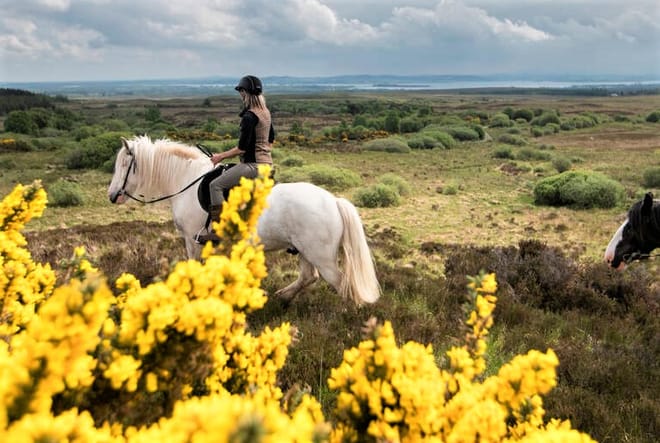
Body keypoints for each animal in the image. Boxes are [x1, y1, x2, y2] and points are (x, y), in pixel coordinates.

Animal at [107, 135, 380, 305]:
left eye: (124, 165)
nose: (112, 195)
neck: (187, 181)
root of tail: (333, 201)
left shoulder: (193, 240)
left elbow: (196, 266)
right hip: (305, 251)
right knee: (308, 277)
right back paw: (282, 298)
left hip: (321, 255)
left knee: (340, 282)